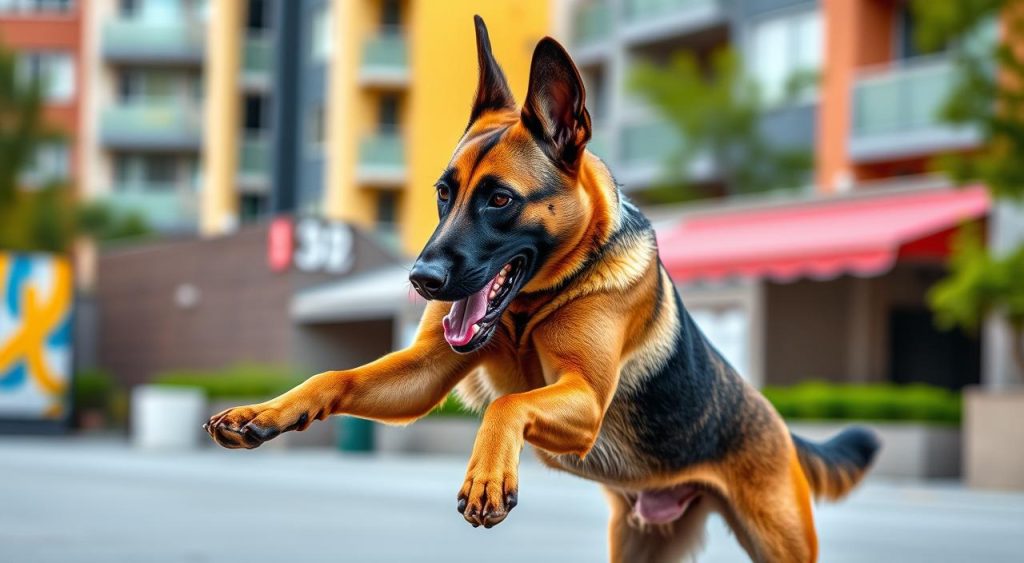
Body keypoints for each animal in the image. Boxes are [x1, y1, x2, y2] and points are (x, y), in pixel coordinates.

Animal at [207, 17, 880, 563]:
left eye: (500, 200)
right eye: (443, 194)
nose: (421, 281)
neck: (531, 306)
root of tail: (778, 423)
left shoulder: (583, 397)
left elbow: (508, 405)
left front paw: (486, 476)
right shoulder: (424, 372)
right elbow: (333, 377)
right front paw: (264, 412)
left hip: (780, 542)